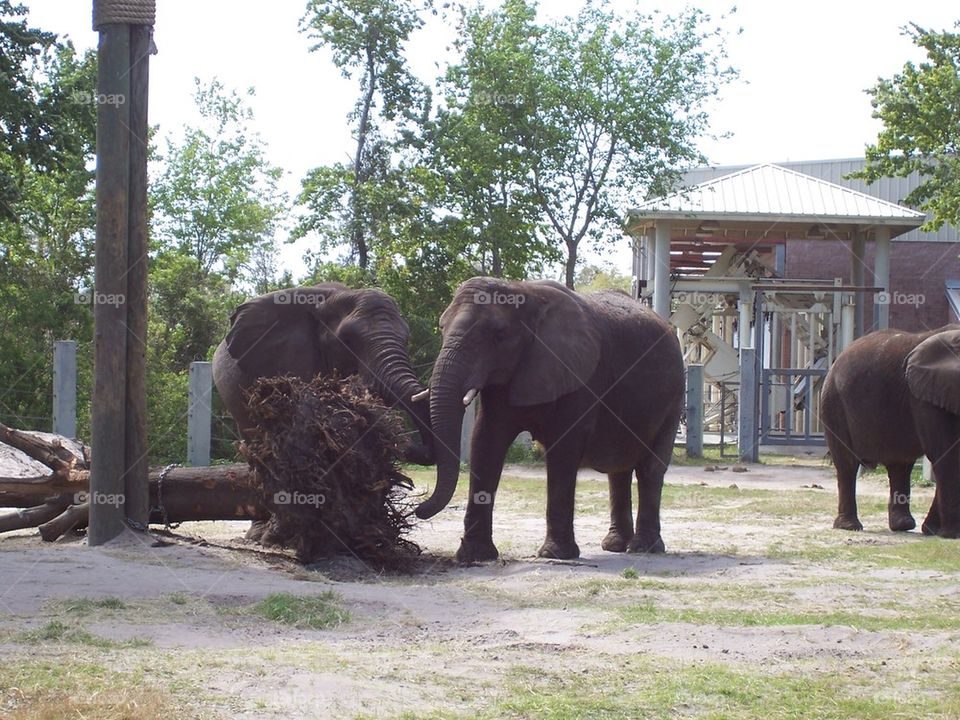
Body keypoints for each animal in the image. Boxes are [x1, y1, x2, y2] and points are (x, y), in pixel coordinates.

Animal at [413, 277, 685, 563]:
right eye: (442, 327)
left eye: (499, 335)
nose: (418, 509)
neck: (523, 291)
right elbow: (486, 441)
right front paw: (475, 556)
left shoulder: (580, 375)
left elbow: (563, 449)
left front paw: (555, 554)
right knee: (618, 470)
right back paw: (615, 546)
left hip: (674, 396)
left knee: (650, 468)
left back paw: (644, 548)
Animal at [820, 325, 960, 537]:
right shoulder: (924, 399)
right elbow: (946, 454)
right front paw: (950, 535)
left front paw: (932, 531)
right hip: (833, 404)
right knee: (847, 464)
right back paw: (849, 526)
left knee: (900, 465)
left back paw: (903, 525)